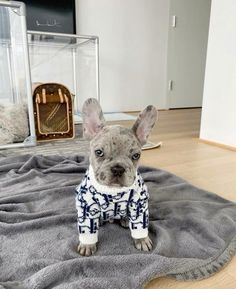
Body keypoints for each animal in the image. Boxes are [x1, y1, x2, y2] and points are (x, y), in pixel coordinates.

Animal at [75, 98, 157, 255]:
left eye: (136, 155)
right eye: (99, 152)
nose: (118, 169)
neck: (113, 191)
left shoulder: (139, 205)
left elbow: (140, 224)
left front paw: (142, 239)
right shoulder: (86, 207)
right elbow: (88, 229)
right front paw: (87, 244)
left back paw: (125, 220)